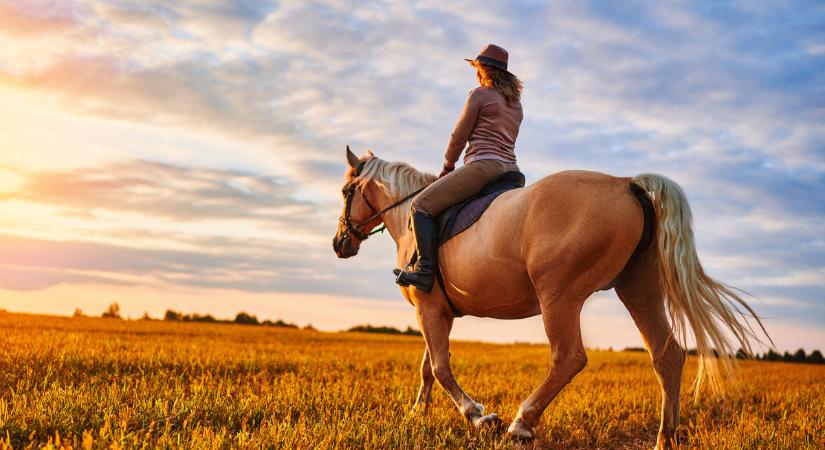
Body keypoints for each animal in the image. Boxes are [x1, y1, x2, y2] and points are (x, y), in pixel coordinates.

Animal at [332, 147, 768, 446]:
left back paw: (521, 423)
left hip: (559, 296)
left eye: (345, 191)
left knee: (569, 357)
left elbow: (439, 368)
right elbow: (428, 368)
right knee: (668, 355)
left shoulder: (428, 309)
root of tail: (626, 183)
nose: (339, 244)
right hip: (639, 288)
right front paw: (416, 415)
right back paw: (666, 438)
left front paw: (478, 416)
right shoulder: (436, 311)